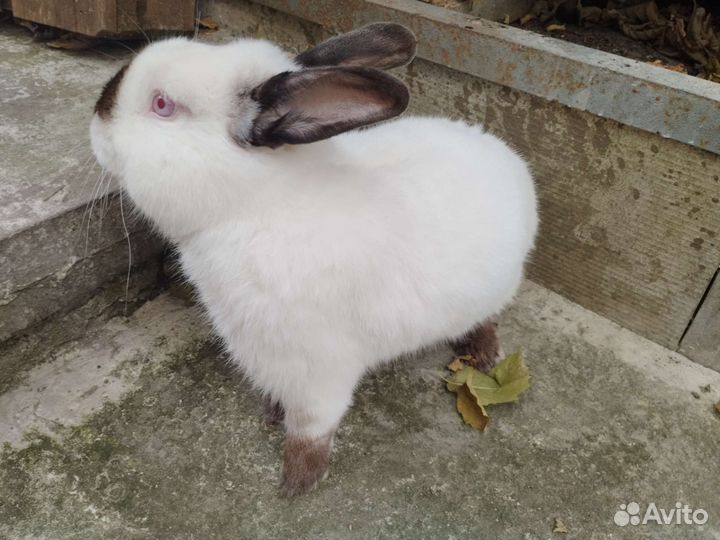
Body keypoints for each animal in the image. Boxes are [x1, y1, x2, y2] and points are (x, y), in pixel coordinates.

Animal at [90, 23, 538, 496]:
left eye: (162, 105)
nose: (95, 120)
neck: (256, 206)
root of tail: (506, 156)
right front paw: (271, 413)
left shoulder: (319, 371)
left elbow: (311, 427)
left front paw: (296, 482)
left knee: (485, 320)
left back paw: (485, 355)